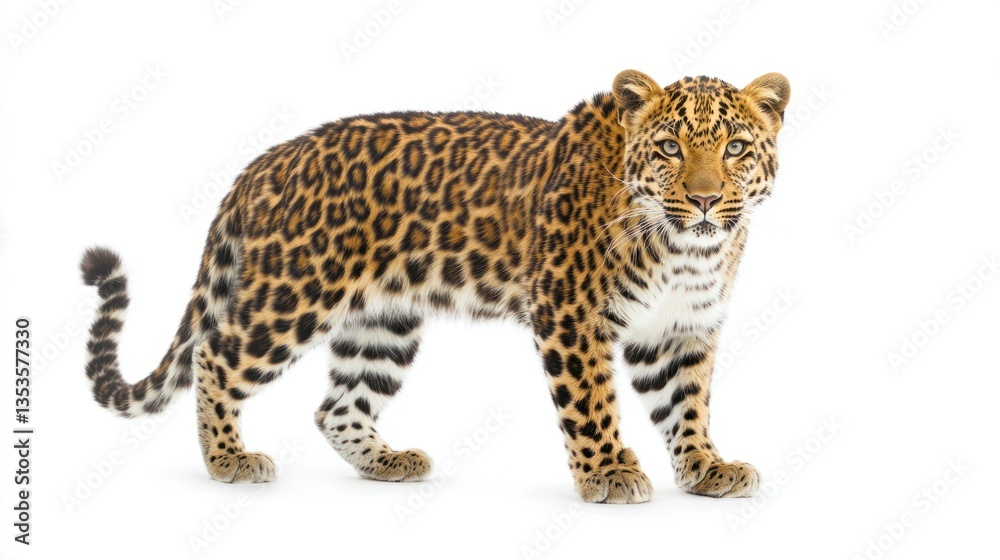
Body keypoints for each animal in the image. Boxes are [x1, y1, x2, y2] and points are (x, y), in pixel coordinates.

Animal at [79, 69, 790, 504]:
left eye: (735, 148)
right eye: (670, 148)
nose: (704, 199)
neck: (687, 252)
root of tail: (265, 161)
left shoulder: (680, 328)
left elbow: (687, 404)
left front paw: (706, 469)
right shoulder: (571, 315)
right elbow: (591, 402)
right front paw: (611, 474)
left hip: (382, 322)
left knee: (336, 405)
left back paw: (387, 463)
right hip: (292, 294)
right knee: (215, 357)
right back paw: (228, 459)